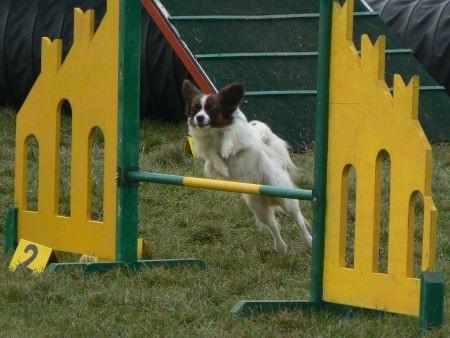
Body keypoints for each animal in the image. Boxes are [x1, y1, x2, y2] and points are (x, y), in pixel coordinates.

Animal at [181, 80, 312, 254]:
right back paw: (281, 247)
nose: (199, 118)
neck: (214, 132)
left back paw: (309, 241)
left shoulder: (244, 138)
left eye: (212, 109)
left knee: (299, 220)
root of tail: (270, 198)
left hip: (286, 199)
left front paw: (226, 149)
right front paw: (223, 167)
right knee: (273, 226)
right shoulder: (208, 154)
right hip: (258, 206)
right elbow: (213, 156)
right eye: (195, 109)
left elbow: (231, 134)